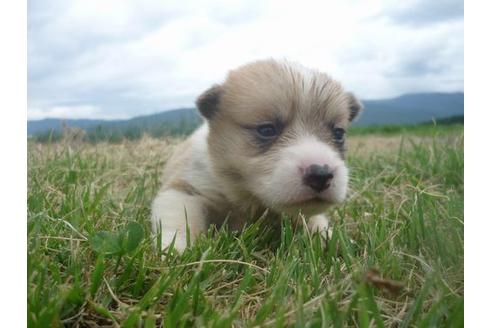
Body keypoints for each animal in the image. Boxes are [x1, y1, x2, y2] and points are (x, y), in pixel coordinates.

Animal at [152, 59, 364, 251]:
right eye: (267, 130)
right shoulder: (185, 189)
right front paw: (175, 250)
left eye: (338, 133)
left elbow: (316, 221)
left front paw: (332, 239)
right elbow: (179, 219)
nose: (320, 174)